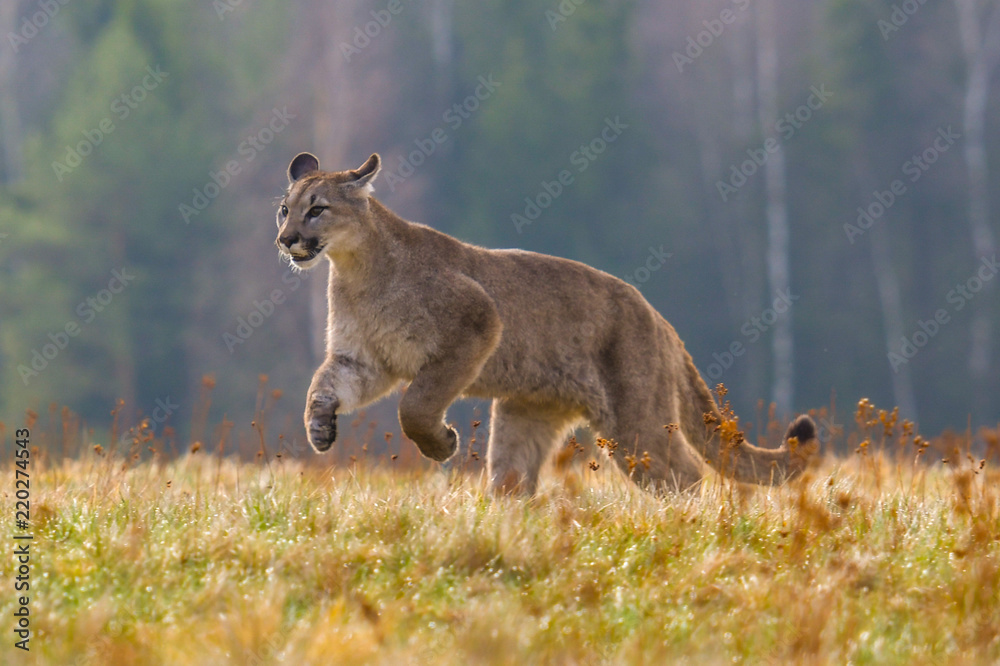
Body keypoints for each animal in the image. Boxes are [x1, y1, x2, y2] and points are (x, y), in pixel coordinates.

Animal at [275, 152, 817, 494]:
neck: (355, 268)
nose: (286, 239)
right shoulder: (362, 359)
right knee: (514, 478)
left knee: (684, 472)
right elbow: (323, 386)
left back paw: (684, 526)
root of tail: (658, 316)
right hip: (526, 413)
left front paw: (441, 444)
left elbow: (417, 404)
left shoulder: (475, 326)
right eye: (284, 209)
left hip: (634, 420)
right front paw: (319, 429)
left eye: (317, 209)